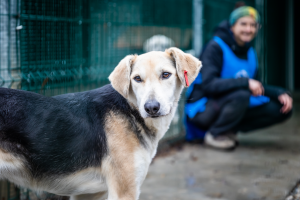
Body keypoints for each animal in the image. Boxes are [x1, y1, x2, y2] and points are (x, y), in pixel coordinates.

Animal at [1, 47, 202, 200]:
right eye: (137, 78)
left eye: (166, 75)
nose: (151, 107)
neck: (131, 109)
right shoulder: (124, 192)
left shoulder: (88, 194)